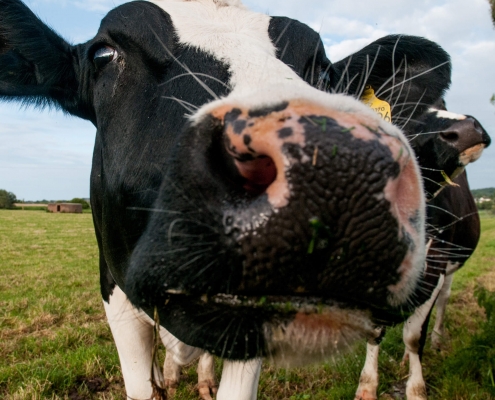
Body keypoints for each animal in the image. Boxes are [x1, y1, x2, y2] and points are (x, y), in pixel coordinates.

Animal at [354, 100, 490, 400]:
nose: (467, 129)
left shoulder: (435, 263)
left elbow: (414, 336)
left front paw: (416, 388)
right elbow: (373, 331)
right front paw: (367, 385)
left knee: (443, 300)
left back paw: (437, 339)